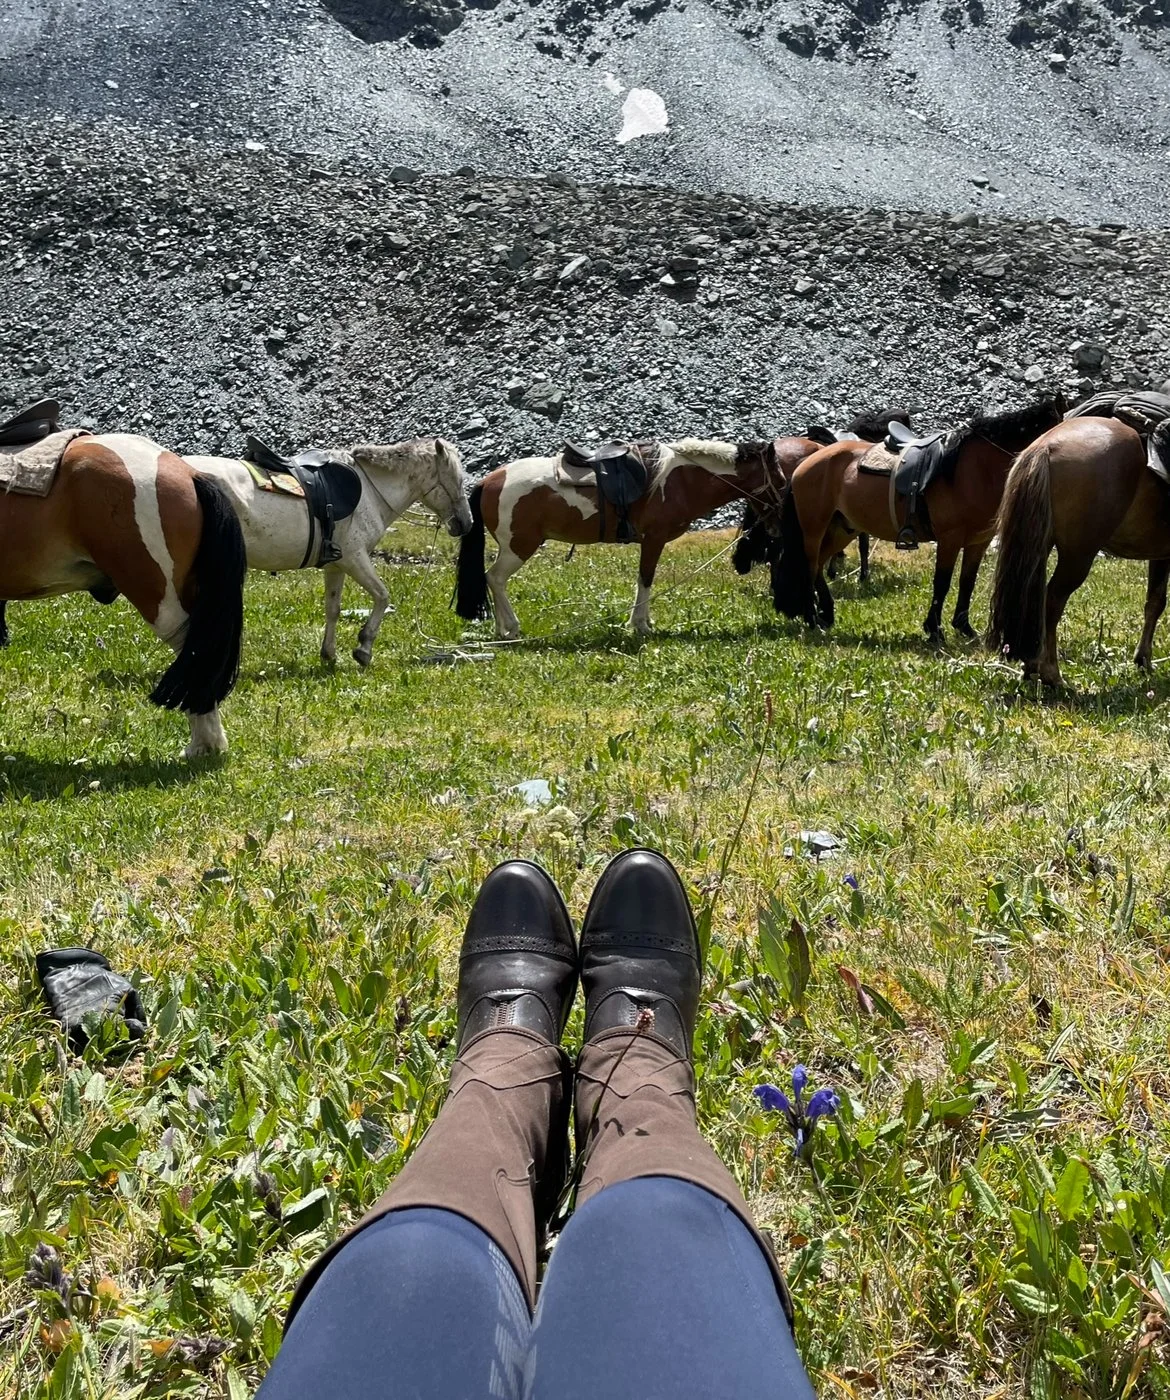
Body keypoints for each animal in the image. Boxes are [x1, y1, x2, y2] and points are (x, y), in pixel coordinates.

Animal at [184, 439, 472, 667]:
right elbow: (382, 596)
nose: (466, 523)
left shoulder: (336, 565)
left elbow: (333, 608)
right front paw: (364, 648)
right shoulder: (355, 558)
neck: (370, 491)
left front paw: (329, 654)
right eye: (457, 480)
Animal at [453, 437, 793, 639]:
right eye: (779, 478)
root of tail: (489, 480)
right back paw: (510, 628)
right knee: (495, 578)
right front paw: (640, 625)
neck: (680, 480)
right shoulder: (654, 539)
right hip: (518, 547)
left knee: (492, 579)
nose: (780, 520)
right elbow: (645, 579)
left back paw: (502, 628)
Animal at [769, 397, 1065, 640]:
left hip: (842, 529)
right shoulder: (949, 539)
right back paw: (812, 618)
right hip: (814, 529)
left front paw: (964, 627)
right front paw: (934, 629)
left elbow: (967, 582)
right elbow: (942, 583)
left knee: (818, 566)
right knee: (808, 567)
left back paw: (825, 615)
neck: (975, 468)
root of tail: (808, 461)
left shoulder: (977, 542)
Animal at [987, 415, 1170, 686]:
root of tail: (1046, 446)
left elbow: (1155, 602)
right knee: (1052, 600)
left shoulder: (1161, 555)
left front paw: (1143, 660)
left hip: (1039, 547)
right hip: (1077, 557)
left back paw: (1031, 667)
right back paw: (1051, 673)